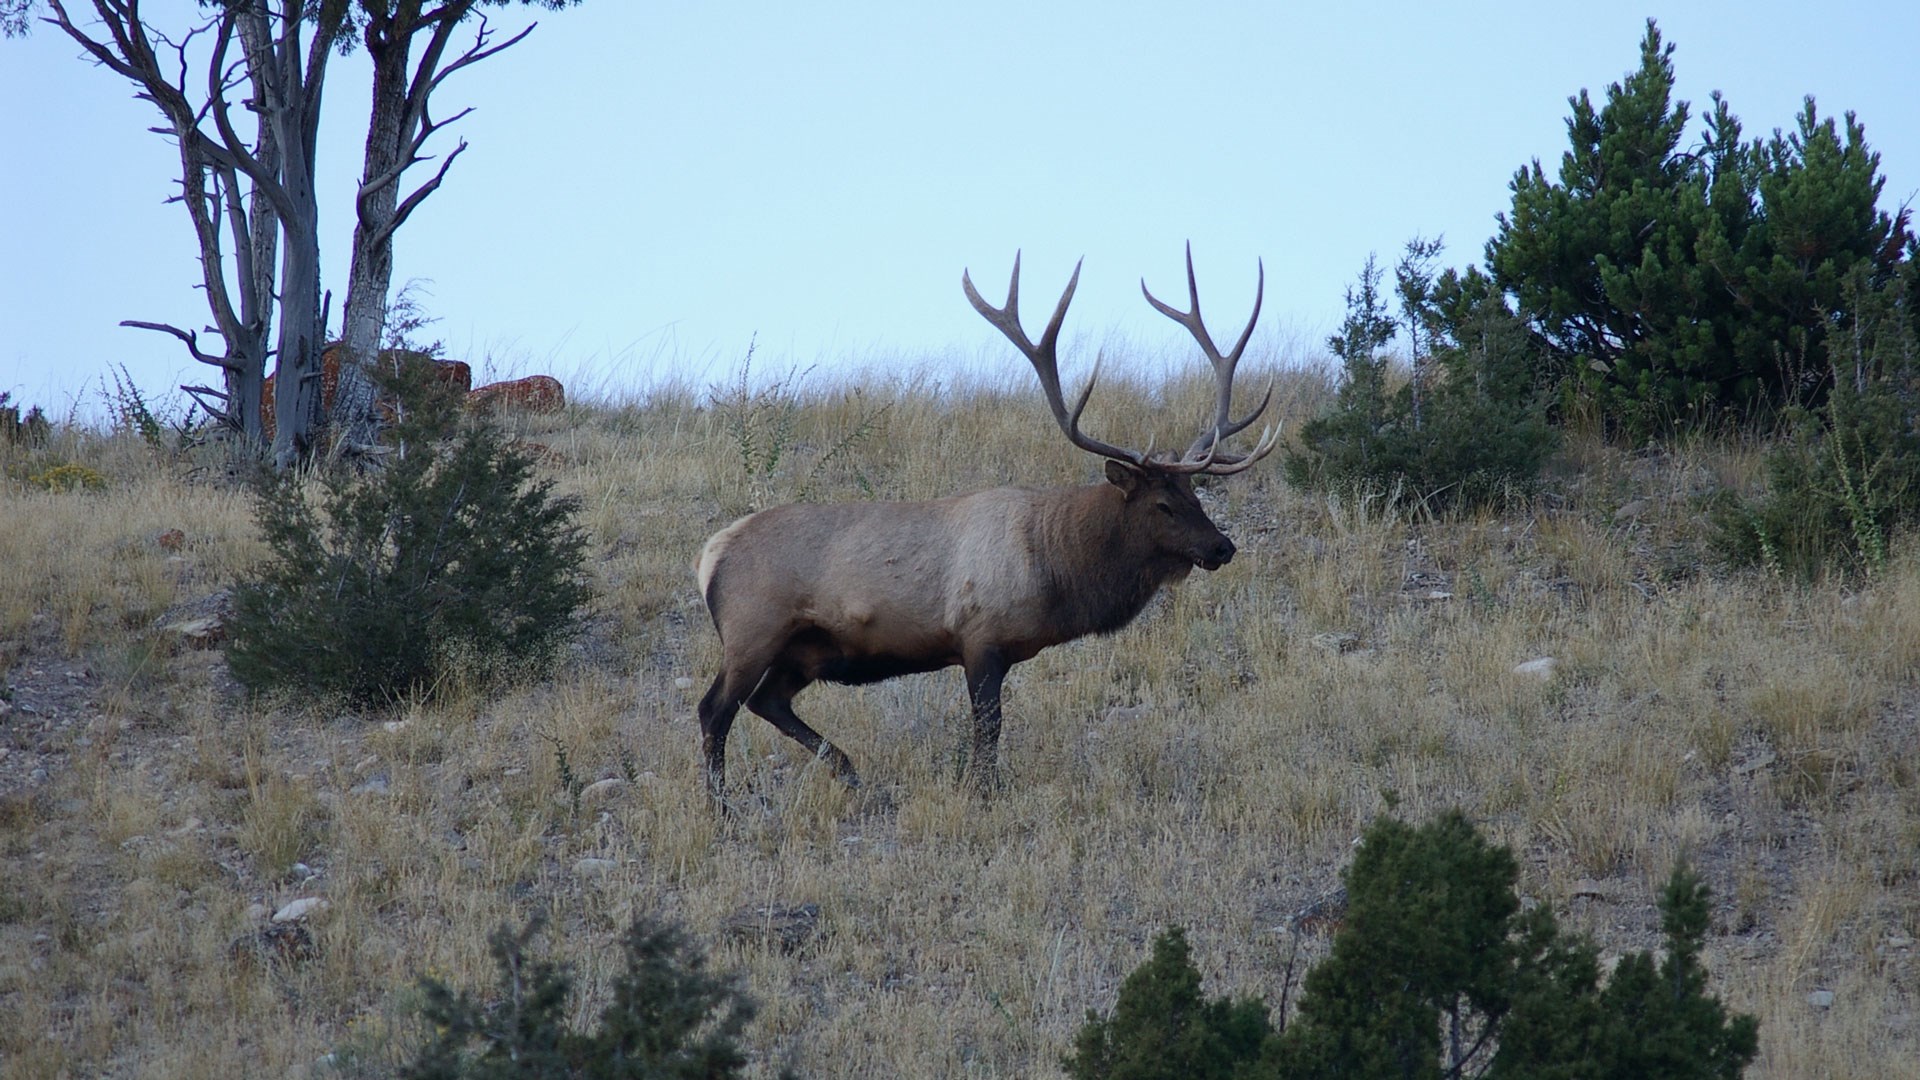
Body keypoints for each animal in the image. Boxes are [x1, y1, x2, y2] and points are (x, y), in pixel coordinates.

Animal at [691, 247, 1274, 795]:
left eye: (1195, 493)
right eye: (1161, 504)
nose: (1222, 546)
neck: (1055, 569)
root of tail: (710, 554)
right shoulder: (980, 636)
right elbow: (988, 729)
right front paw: (980, 791)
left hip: (803, 650)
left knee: (766, 702)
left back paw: (848, 770)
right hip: (752, 630)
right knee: (715, 709)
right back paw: (723, 807)